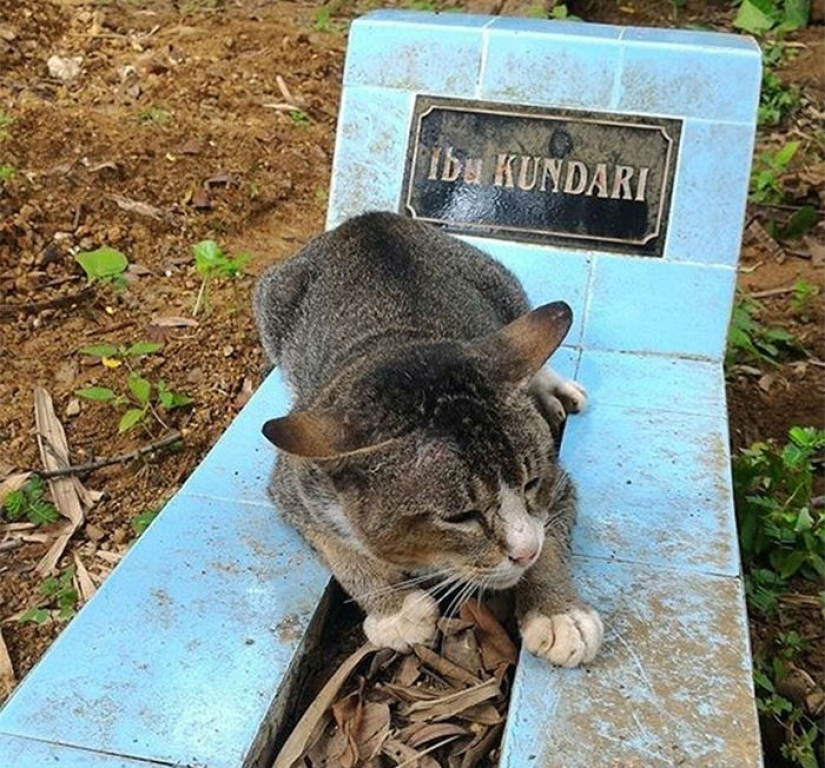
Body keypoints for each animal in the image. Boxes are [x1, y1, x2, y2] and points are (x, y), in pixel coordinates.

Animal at [251, 210, 600, 664]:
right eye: (460, 516)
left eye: (531, 483)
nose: (524, 552)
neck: (398, 343)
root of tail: (366, 220)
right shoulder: (295, 482)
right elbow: (337, 548)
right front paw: (394, 609)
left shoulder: (558, 484)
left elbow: (551, 533)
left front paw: (558, 612)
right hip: (270, 301)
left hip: (501, 283)